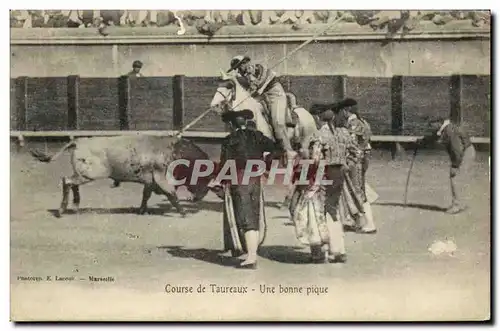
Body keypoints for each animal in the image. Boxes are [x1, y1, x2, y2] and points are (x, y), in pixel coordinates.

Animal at [29, 135, 215, 218]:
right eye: (204, 178)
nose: (197, 199)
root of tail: (79, 141)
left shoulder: (149, 181)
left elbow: (146, 195)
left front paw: (141, 211)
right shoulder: (162, 178)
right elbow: (172, 195)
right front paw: (183, 213)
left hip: (82, 174)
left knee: (72, 183)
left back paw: (75, 208)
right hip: (89, 174)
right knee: (67, 181)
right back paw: (61, 211)